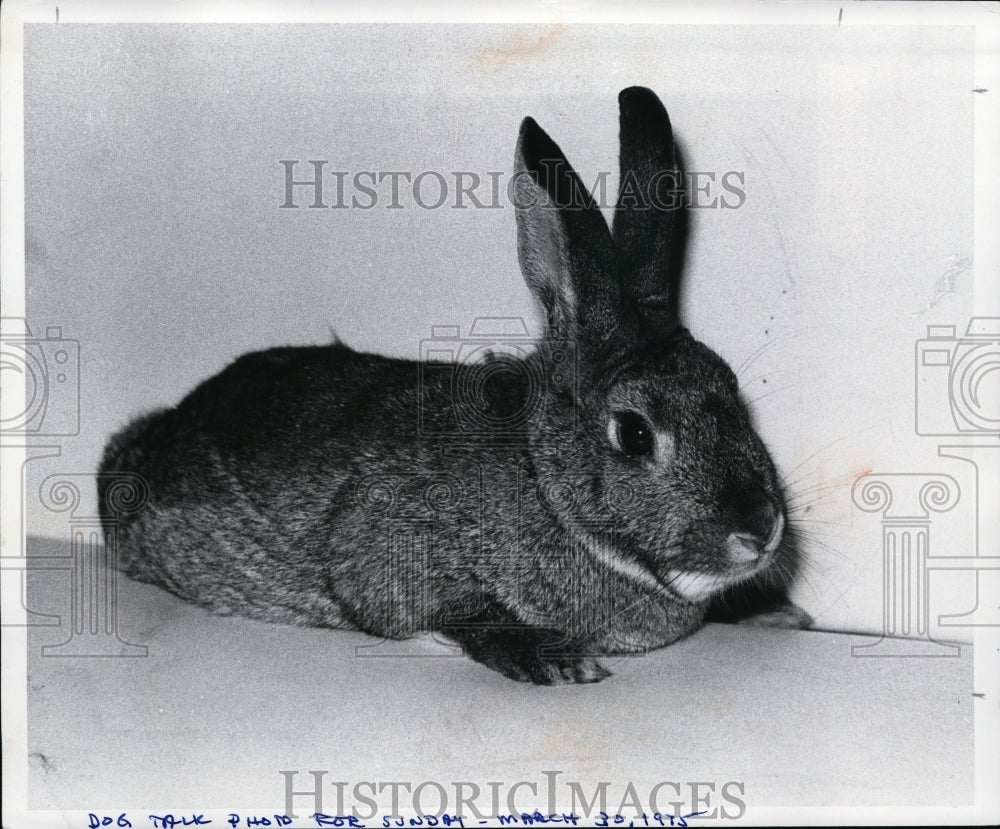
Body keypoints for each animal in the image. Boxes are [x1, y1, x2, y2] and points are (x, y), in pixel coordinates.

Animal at [101, 87, 800, 684]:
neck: (541, 480)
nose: (760, 530)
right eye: (633, 433)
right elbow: (449, 610)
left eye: (731, 386)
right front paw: (556, 660)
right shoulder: (389, 552)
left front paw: (779, 613)